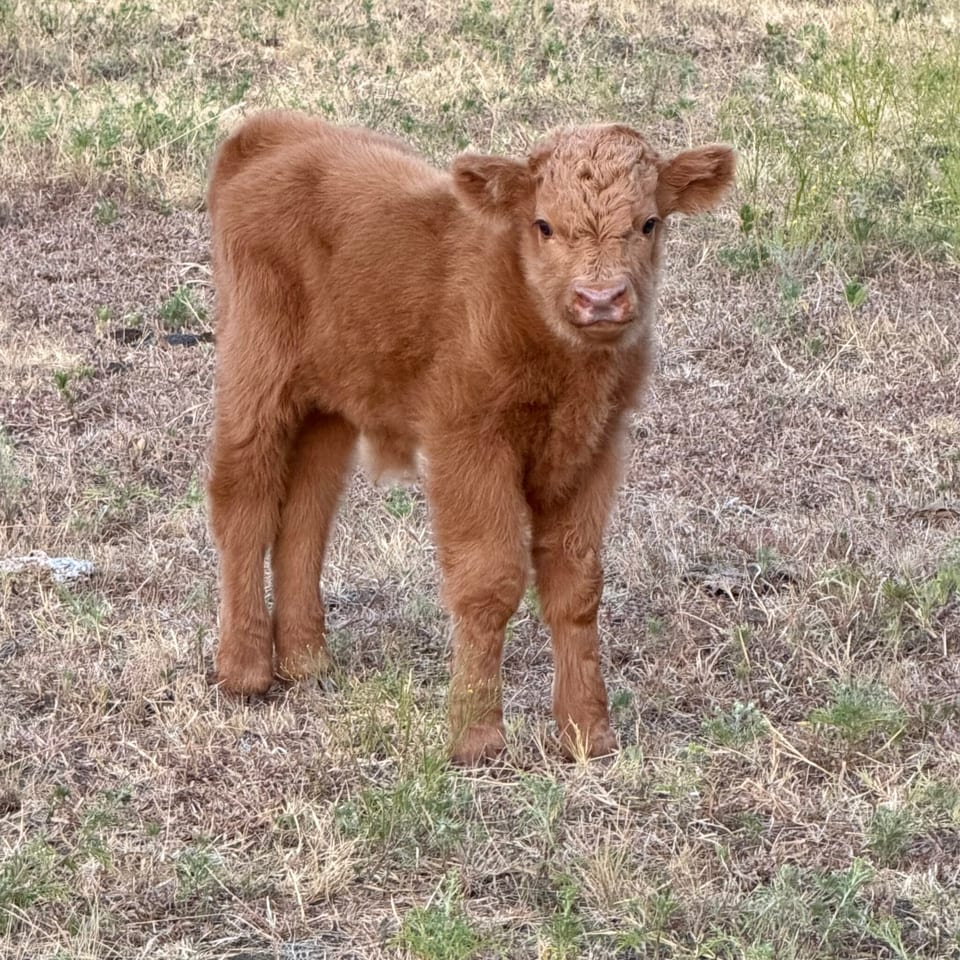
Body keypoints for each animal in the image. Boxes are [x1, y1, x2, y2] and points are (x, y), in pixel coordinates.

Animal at [206, 111, 734, 763]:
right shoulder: (469, 442)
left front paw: (587, 732)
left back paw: (307, 660)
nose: (600, 299)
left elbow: (577, 585)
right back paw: (245, 670)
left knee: (305, 515)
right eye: (543, 225)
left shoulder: (595, 449)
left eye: (649, 222)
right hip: (256, 379)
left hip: (329, 407)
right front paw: (476, 737)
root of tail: (273, 132)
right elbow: (490, 580)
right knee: (244, 505)